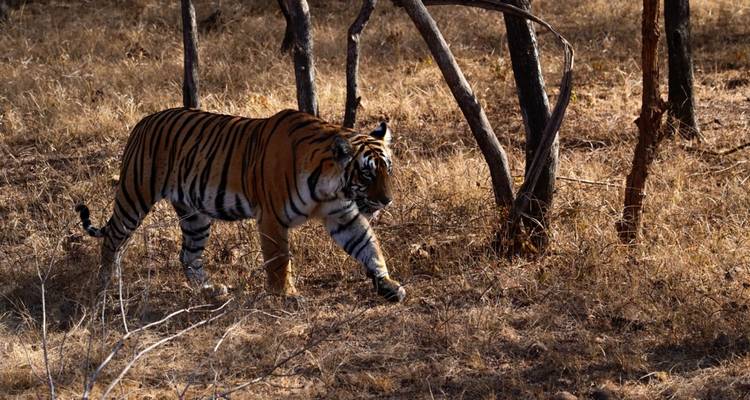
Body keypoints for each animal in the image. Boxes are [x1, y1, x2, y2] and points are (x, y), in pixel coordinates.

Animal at [75, 108, 406, 303]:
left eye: (388, 170)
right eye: (366, 174)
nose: (387, 200)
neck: (330, 186)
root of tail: (143, 121)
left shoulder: (342, 214)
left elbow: (368, 247)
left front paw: (387, 284)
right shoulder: (272, 217)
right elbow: (279, 260)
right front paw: (286, 295)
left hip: (195, 216)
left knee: (188, 256)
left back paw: (211, 291)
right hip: (135, 196)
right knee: (113, 239)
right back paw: (106, 287)